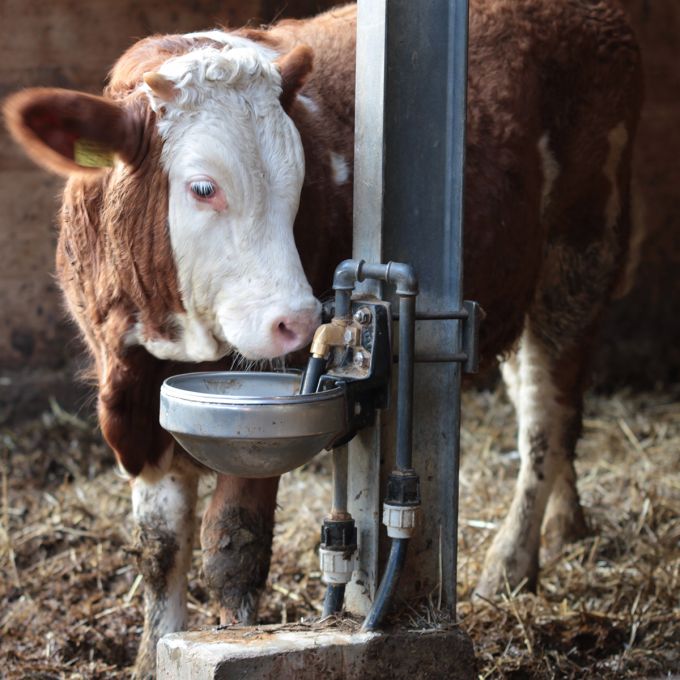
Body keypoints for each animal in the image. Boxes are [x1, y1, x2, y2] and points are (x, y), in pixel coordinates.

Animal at [2, 1, 640, 676]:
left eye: (300, 180)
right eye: (203, 187)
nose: (298, 320)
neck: (158, 330)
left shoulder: (268, 402)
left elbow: (233, 543)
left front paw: (236, 637)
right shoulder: (131, 391)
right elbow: (159, 547)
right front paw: (152, 656)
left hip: (580, 257)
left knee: (547, 416)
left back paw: (512, 562)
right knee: (548, 409)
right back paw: (567, 526)